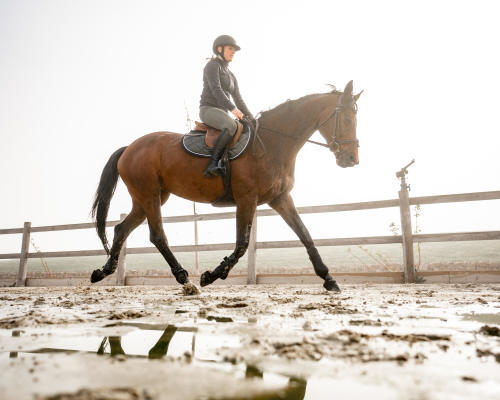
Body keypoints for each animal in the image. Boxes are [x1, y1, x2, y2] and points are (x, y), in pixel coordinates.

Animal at [90, 80, 362, 290]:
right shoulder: (247, 199)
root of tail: (129, 148)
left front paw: (329, 278)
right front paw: (211, 275)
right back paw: (184, 278)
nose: (351, 159)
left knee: (121, 229)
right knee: (157, 235)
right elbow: (242, 244)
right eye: (347, 119)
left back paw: (103, 271)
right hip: (149, 196)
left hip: (148, 197)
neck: (272, 144)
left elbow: (305, 235)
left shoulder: (280, 198)